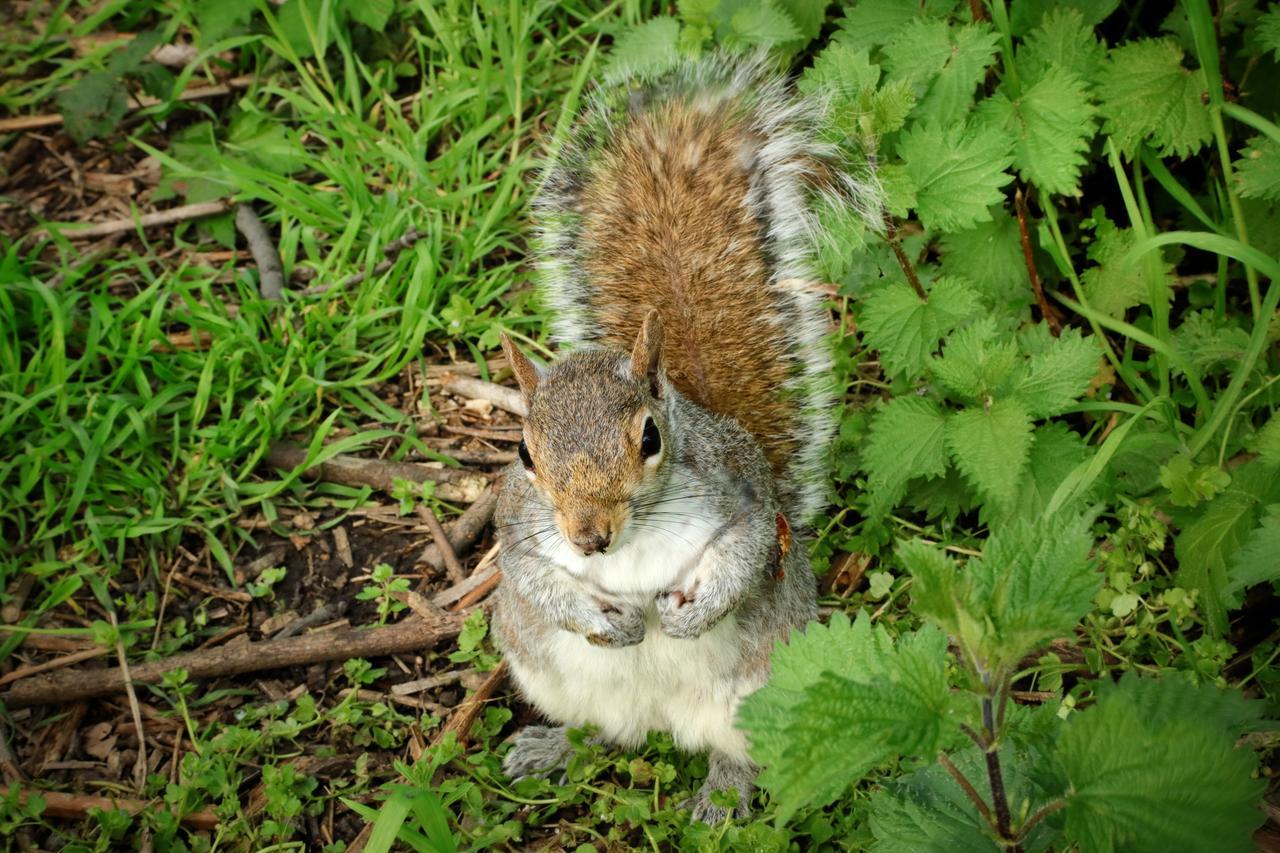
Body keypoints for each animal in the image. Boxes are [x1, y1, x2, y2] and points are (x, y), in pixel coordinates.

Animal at [491, 54, 880, 824]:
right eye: (523, 452)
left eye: (650, 438)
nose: (588, 536)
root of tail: (659, 718)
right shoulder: (518, 531)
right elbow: (535, 581)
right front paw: (608, 621)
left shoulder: (743, 496)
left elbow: (747, 551)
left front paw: (692, 616)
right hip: (545, 673)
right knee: (601, 734)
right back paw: (552, 749)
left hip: (758, 691)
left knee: (738, 750)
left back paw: (722, 796)